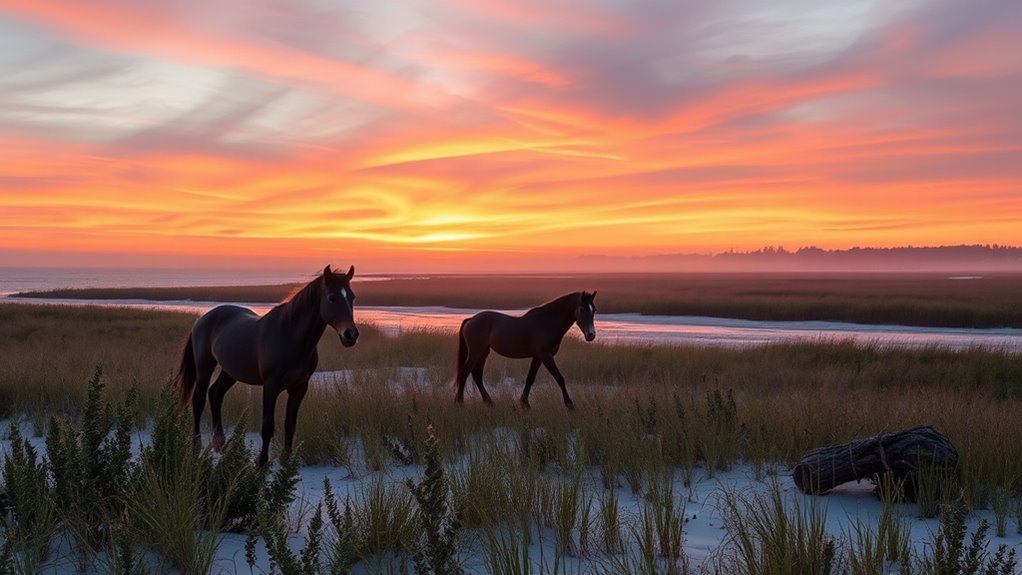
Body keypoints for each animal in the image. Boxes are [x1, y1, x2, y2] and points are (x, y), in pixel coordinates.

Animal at [174, 265, 359, 467]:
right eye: (332, 298)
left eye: (352, 297)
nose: (351, 335)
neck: (289, 336)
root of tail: (202, 319)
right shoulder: (271, 387)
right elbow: (267, 426)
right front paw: (261, 462)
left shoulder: (299, 388)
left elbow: (290, 425)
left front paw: (286, 461)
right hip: (204, 367)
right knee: (198, 401)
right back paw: (196, 446)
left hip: (230, 371)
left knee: (216, 393)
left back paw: (220, 443)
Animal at [454, 291, 597, 409]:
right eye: (582, 309)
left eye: (594, 310)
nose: (591, 335)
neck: (547, 322)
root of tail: (470, 320)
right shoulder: (545, 355)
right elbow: (559, 378)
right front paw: (569, 404)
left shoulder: (538, 357)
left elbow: (530, 379)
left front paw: (524, 403)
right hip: (475, 352)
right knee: (465, 372)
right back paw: (460, 402)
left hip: (483, 353)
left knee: (477, 375)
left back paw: (489, 402)